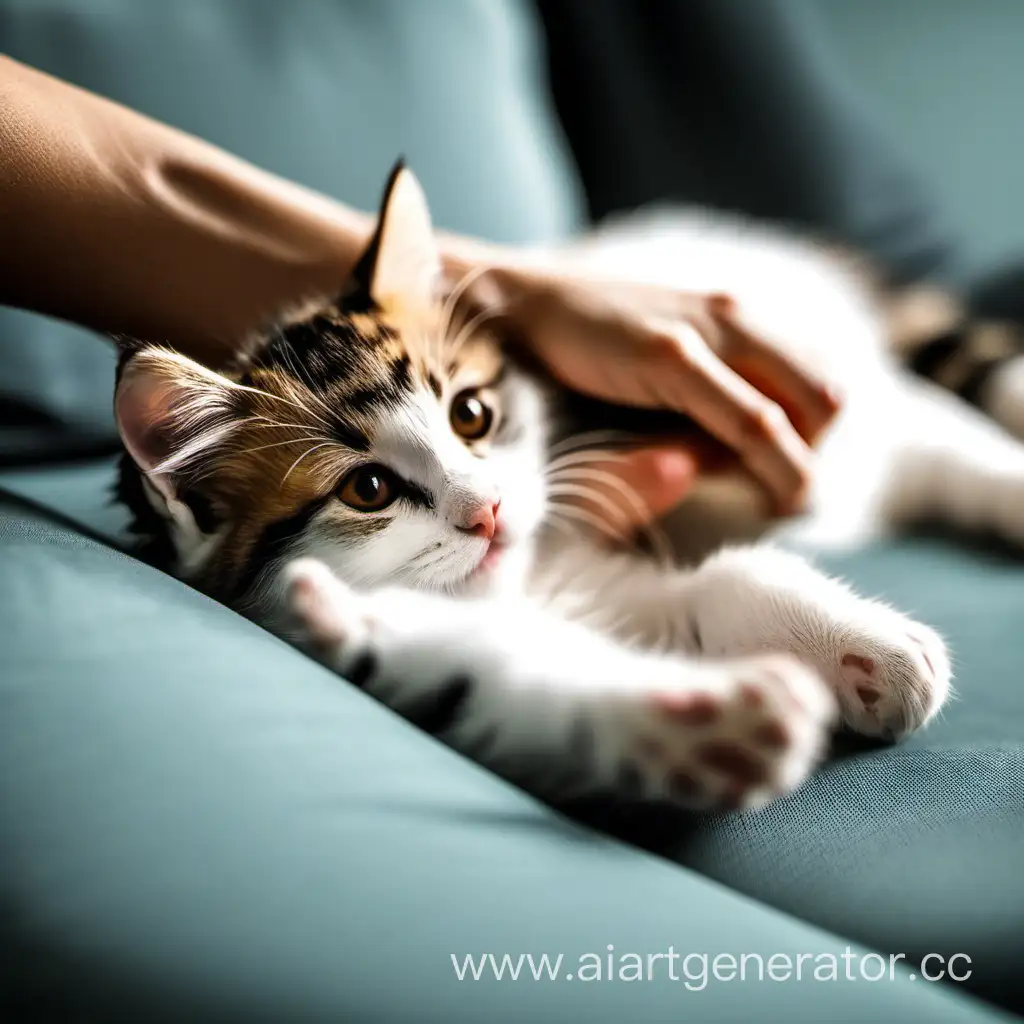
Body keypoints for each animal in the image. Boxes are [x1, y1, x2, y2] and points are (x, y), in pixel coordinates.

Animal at [119, 161, 1024, 815]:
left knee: (950, 432)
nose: (487, 511)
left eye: (472, 414)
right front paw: (712, 726)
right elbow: (512, 678)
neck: (529, 584)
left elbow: (732, 574)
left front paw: (870, 649)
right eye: (367, 488)